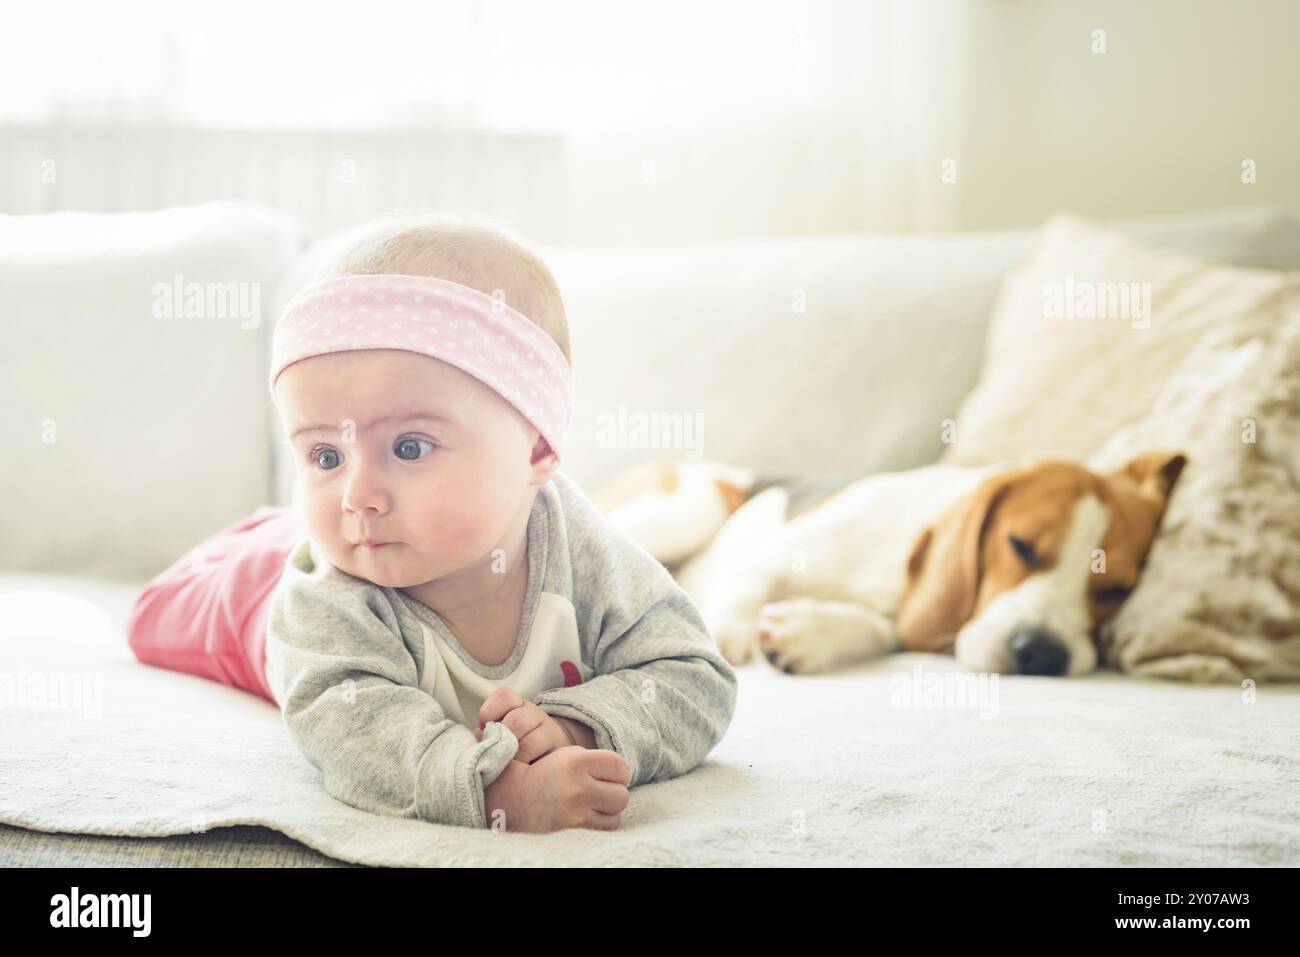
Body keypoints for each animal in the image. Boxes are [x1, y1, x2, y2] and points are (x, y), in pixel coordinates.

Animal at [595, 452, 1185, 676]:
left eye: (1115, 590)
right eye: (1020, 546)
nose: (1043, 653)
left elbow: (890, 628)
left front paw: (812, 632)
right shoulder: (783, 544)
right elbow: (752, 577)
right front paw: (729, 632)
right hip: (692, 507)